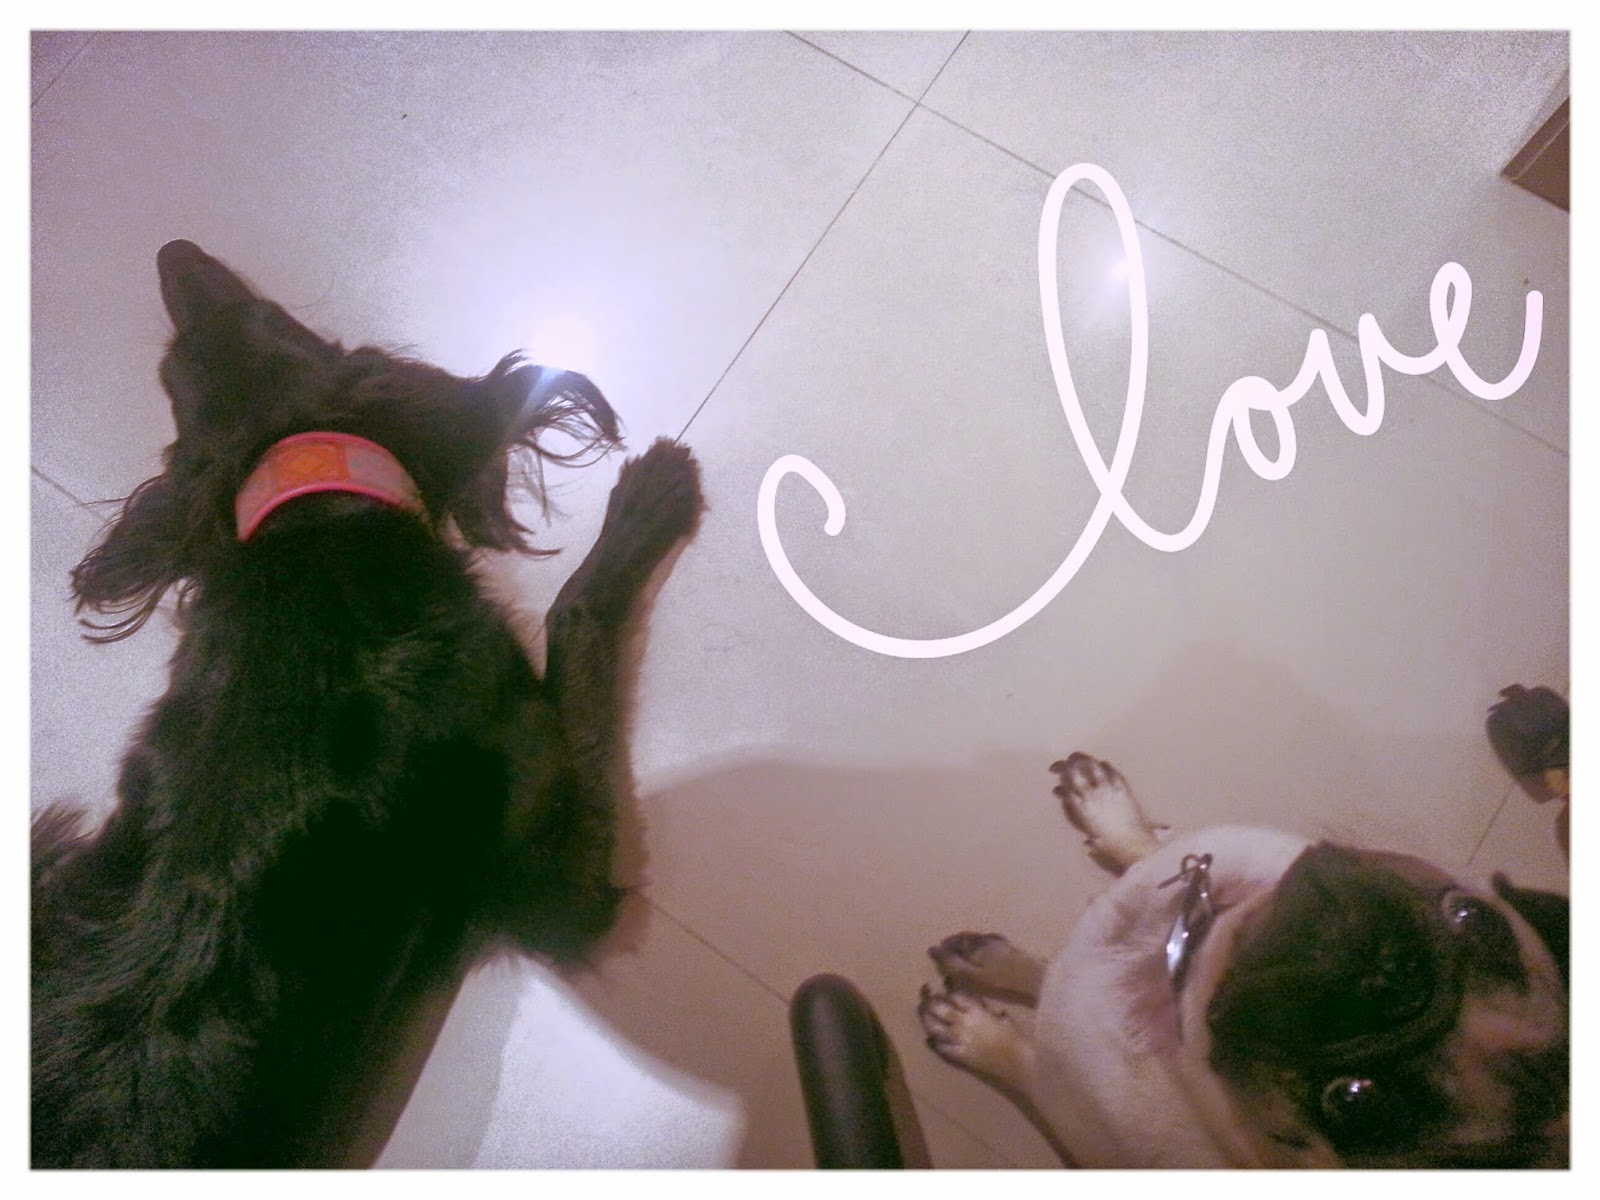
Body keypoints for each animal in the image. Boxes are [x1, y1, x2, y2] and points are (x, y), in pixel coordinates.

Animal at [32, 240, 703, 1167]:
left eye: (174, 369)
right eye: (284, 318)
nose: (174, 254)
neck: (315, 533)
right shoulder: (553, 873)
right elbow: (574, 616)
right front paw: (645, 503)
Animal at [918, 753, 1569, 1168]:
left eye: (1354, 1102)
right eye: (1471, 916)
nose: (1393, 980)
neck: (1183, 975)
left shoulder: (1063, 1103)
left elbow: (1021, 1059)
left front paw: (976, 1033)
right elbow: (1141, 854)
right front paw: (1109, 812)